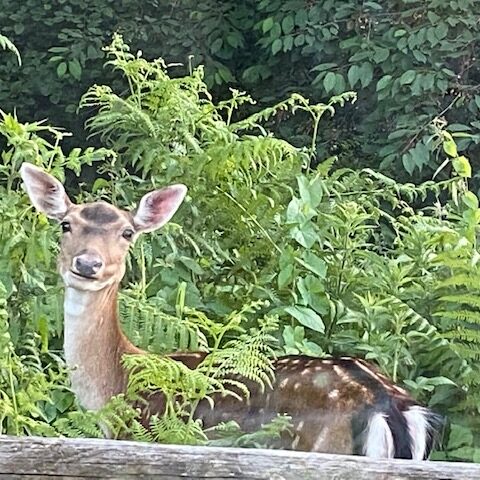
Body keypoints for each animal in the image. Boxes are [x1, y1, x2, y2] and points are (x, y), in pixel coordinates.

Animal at [20, 163, 440, 460]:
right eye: (65, 224)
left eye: (127, 233)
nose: (88, 264)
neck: (117, 387)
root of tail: (391, 406)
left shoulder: (145, 434)